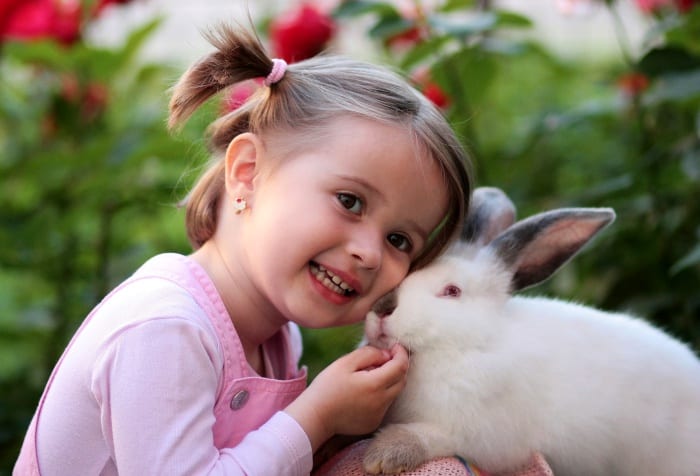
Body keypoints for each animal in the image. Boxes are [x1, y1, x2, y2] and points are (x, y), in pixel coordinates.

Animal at [364, 187, 700, 476]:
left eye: (452, 291)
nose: (382, 308)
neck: (468, 346)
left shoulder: (479, 436)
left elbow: (430, 436)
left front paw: (383, 455)